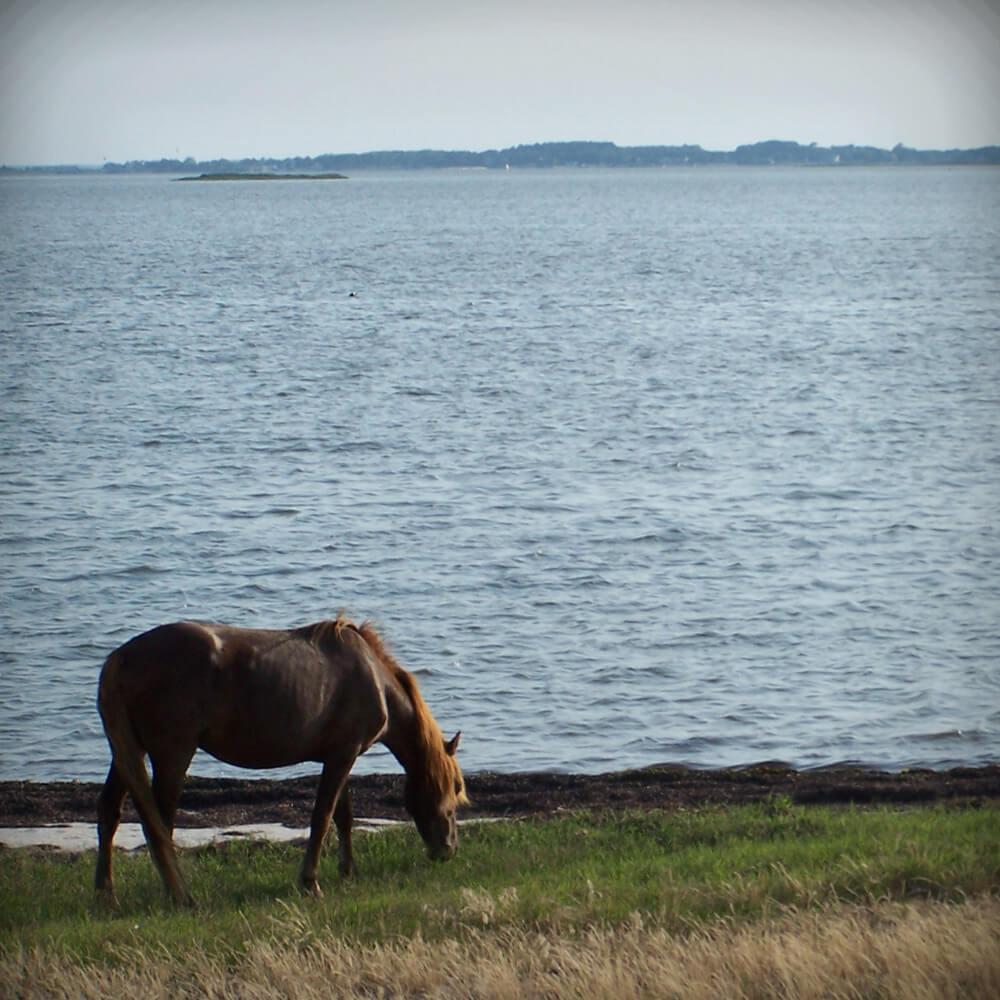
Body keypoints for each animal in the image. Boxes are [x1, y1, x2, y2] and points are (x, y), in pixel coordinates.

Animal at [95, 616, 466, 908]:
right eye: (454, 793)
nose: (448, 850)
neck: (373, 676)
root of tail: (122, 657)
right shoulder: (343, 755)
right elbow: (322, 817)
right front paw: (310, 883)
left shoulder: (339, 755)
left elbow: (343, 816)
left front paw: (348, 872)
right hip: (173, 754)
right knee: (159, 822)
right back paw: (179, 895)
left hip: (127, 752)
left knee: (110, 812)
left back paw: (107, 896)